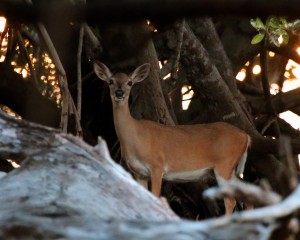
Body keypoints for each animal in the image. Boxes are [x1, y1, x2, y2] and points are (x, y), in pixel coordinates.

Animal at [94, 61, 251, 215]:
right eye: (111, 81)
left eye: (130, 83)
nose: (119, 93)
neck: (135, 138)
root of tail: (246, 136)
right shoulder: (139, 173)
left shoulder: (157, 165)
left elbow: (155, 197)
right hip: (224, 169)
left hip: (224, 164)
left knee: (230, 201)